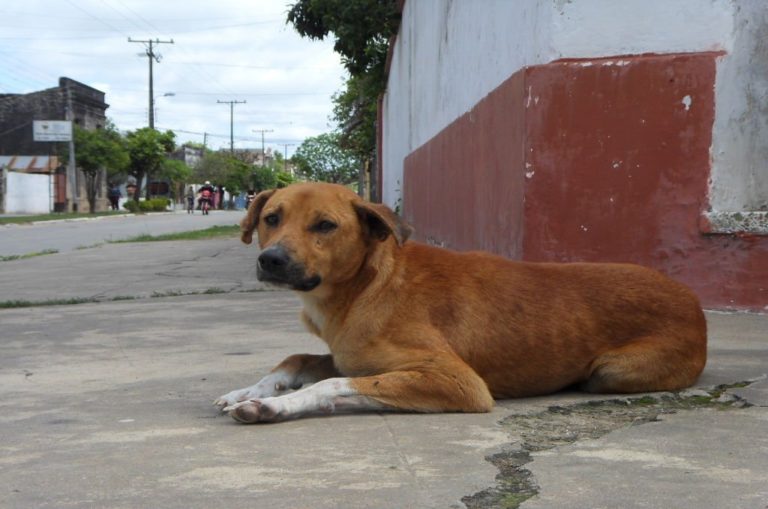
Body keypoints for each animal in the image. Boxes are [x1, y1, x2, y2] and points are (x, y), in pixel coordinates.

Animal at [213, 183, 704, 420]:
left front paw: (273, 405)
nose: (271, 260)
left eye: (325, 226)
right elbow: (297, 360)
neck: (367, 287)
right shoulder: (354, 358)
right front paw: (251, 390)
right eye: (271, 218)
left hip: (611, 372)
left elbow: (332, 384)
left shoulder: (457, 381)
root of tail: (690, 298)